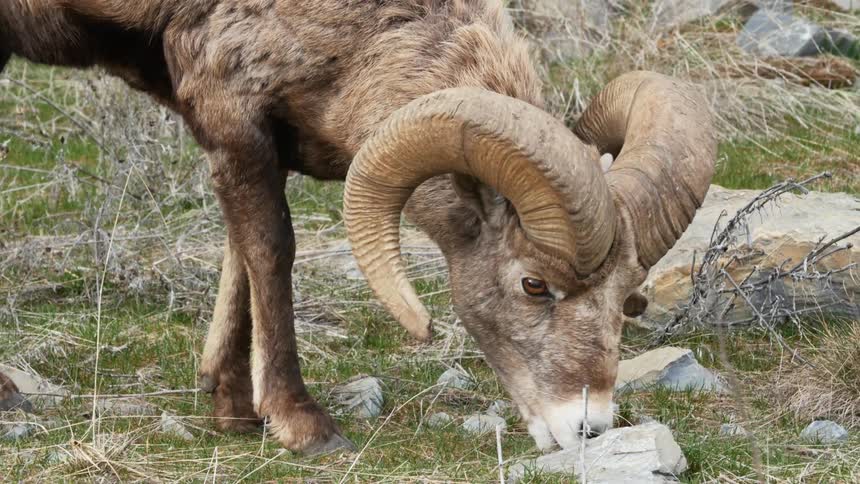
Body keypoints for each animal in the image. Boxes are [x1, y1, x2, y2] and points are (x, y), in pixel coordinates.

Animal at [1, 0, 716, 454]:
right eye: (533, 284)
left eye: (628, 299)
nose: (589, 428)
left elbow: (239, 252)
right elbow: (269, 249)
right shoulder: (233, 116)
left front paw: (232, 407)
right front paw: (302, 426)